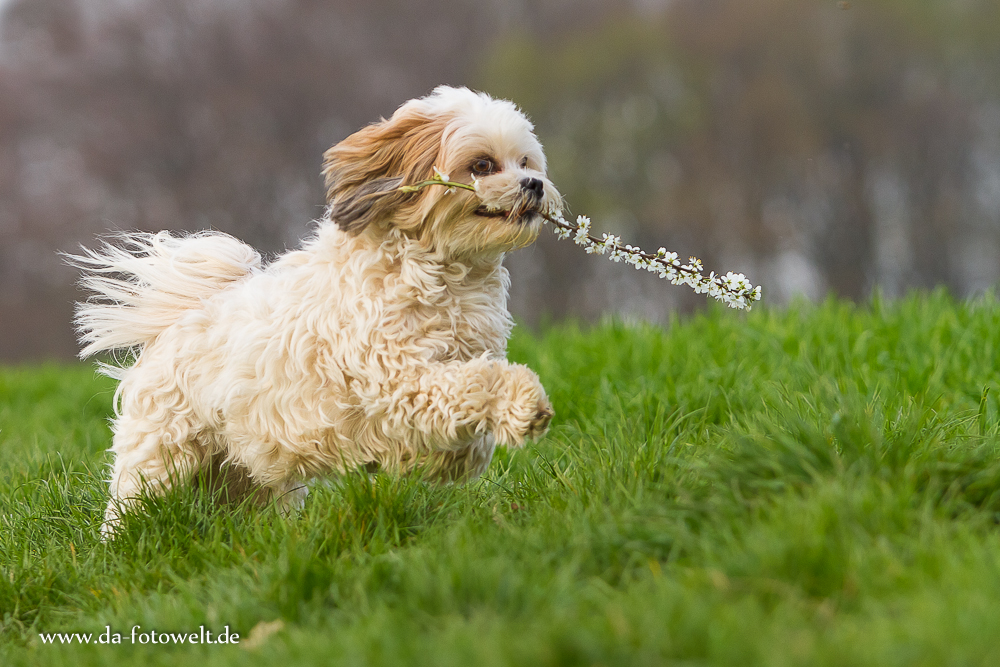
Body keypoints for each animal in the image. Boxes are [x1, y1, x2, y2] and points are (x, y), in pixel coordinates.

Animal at [74, 86, 560, 536]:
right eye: (482, 166)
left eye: (525, 162)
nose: (533, 184)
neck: (444, 272)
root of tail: (178, 320)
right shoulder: (398, 379)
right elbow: (476, 382)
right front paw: (525, 403)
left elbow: (467, 424)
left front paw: (448, 460)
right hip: (161, 457)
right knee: (135, 503)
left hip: (245, 473)